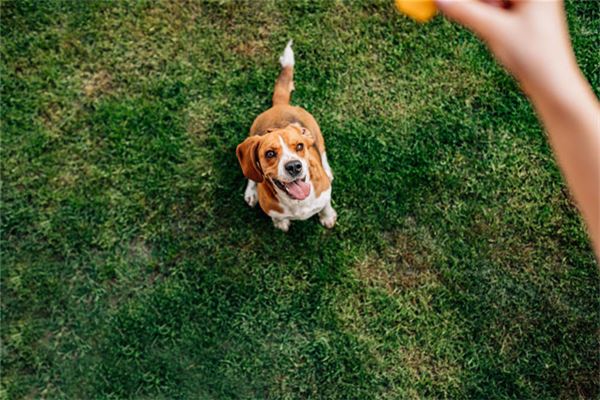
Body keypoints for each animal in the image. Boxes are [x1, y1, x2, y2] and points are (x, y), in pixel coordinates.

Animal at [236, 40, 338, 231]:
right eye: (269, 153)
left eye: (299, 146)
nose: (294, 167)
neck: (297, 202)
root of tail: (279, 105)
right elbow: (277, 217)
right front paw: (280, 223)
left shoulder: (325, 195)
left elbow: (326, 206)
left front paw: (327, 217)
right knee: (251, 175)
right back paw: (251, 191)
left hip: (316, 133)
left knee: (322, 152)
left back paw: (327, 171)